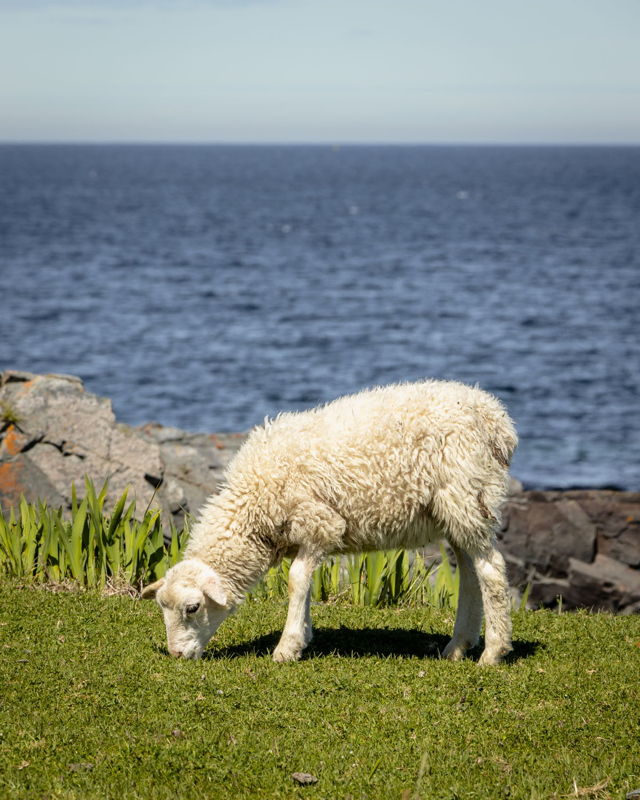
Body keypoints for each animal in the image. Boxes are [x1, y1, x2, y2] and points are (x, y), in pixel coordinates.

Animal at [142, 380, 517, 665]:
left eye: (192, 608)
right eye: (162, 607)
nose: (176, 655)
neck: (254, 506)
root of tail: (494, 416)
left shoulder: (318, 522)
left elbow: (296, 580)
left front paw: (287, 646)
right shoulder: (307, 534)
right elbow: (304, 582)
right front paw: (303, 634)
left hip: (467, 493)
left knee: (491, 570)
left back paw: (493, 653)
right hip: (455, 510)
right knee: (470, 572)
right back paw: (458, 646)